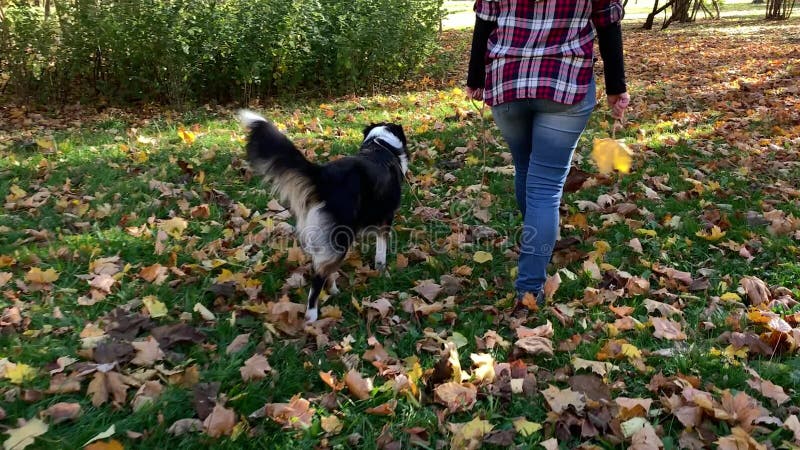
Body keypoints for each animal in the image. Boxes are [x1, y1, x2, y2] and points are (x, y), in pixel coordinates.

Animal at [239, 110, 410, 322]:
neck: (381, 145)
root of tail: (323, 176)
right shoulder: (386, 219)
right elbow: (381, 251)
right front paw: (382, 270)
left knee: (322, 266)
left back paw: (334, 291)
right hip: (340, 237)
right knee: (318, 276)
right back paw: (312, 315)